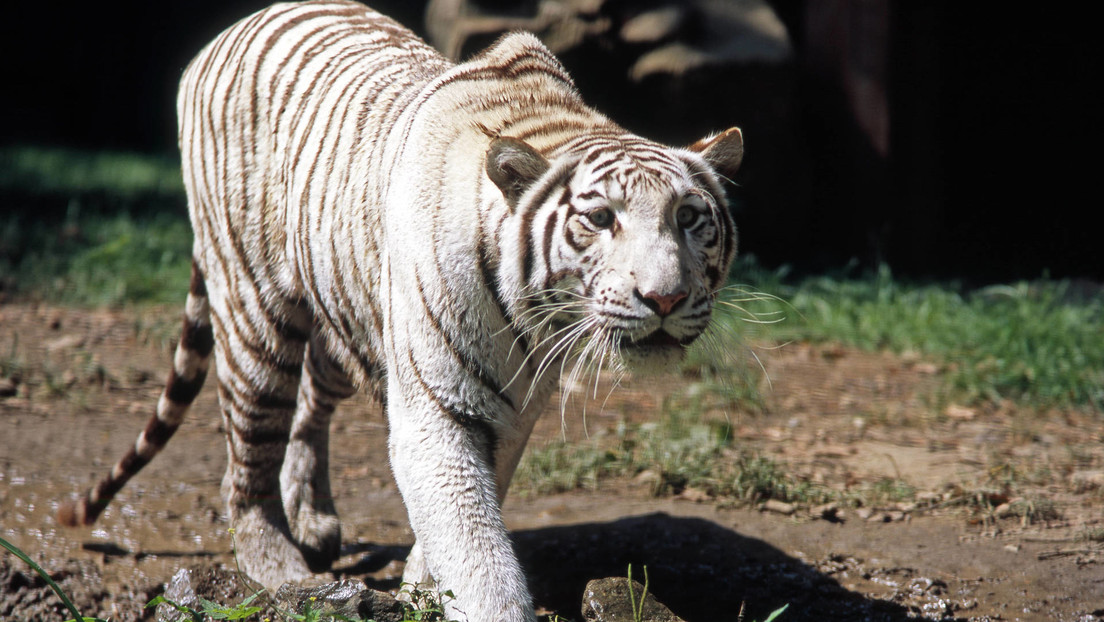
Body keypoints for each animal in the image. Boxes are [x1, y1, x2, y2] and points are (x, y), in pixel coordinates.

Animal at [60, 2, 741, 618]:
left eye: (689, 217)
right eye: (600, 219)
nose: (665, 297)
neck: (538, 317)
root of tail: (232, 29)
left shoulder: (512, 411)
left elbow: (462, 520)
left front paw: (421, 587)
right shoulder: (439, 408)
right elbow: (473, 543)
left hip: (347, 311)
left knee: (311, 402)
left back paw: (314, 517)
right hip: (255, 312)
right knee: (247, 459)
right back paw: (279, 571)